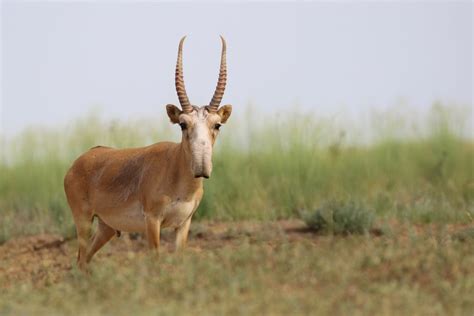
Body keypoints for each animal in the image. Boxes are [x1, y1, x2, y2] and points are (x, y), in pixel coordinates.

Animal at [64, 36, 231, 270]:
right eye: (182, 124)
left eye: (217, 125)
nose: (201, 167)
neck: (176, 172)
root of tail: (78, 162)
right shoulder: (153, 221)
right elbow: (155, 260)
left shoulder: (183, 224)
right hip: (83, 220)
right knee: (80, 259)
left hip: (106, 227)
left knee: (85, 258)